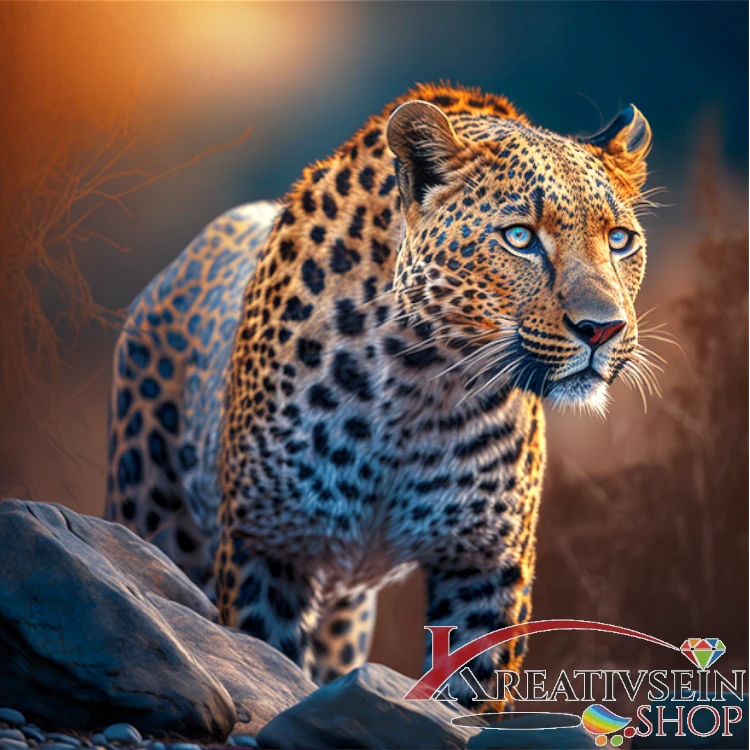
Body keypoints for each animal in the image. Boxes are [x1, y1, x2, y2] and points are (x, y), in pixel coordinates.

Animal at [105, 83, 653, 710]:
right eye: (520, 237)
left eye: (619, 240)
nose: (603, 328)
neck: (423, 382)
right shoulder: (267, 547)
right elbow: (263, 661)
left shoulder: (486, 567)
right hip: (157, 512)